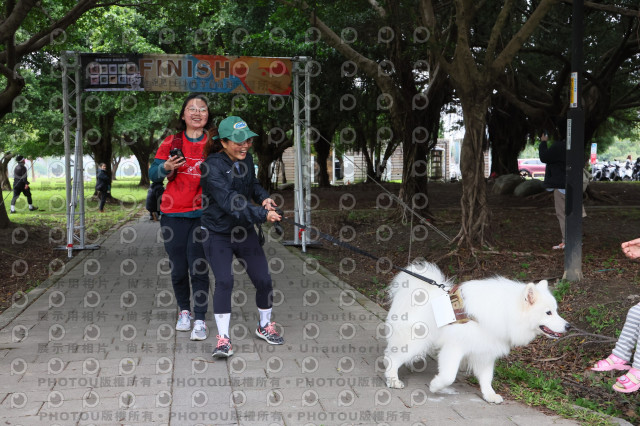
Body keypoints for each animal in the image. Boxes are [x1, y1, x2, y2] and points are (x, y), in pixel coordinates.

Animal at [383, 261, 570, 403]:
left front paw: (489, 395)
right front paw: (435, 386)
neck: (505, 312)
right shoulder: (454, 348)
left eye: (556, 311)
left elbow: (487, 377)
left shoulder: (486, 351)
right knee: (392, 358)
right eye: (548, 313)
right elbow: (449, 375)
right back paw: (393, 379)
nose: (568, 326)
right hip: (416, 341)